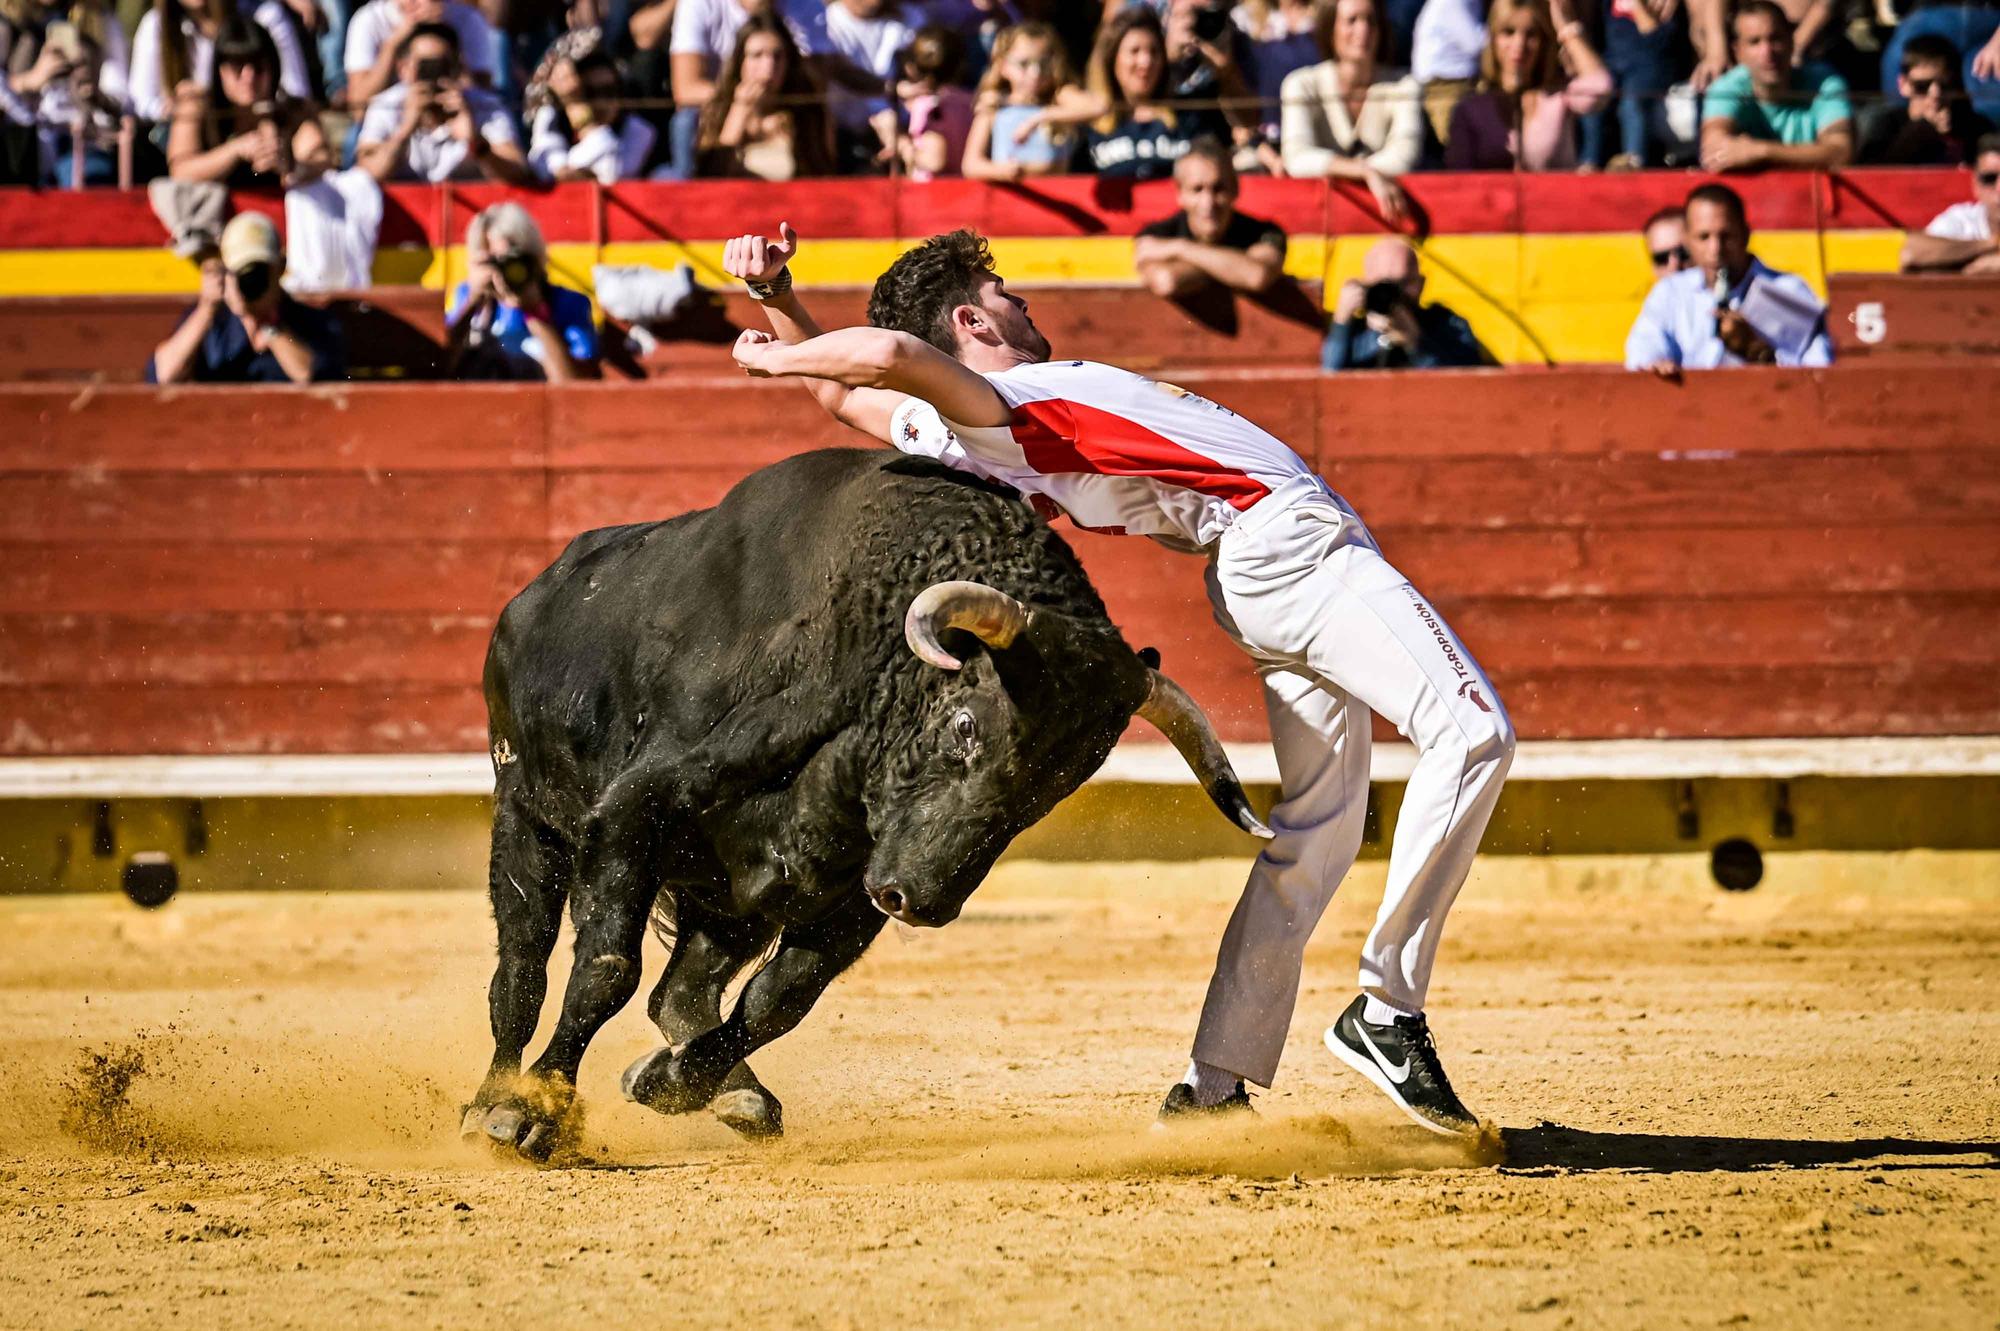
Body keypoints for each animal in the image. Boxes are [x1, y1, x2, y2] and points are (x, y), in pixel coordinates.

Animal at [464, 445, 1264, 1151]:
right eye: (966, 725)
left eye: (1056, 785)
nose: (922, 901)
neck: (866, 671)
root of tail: (532, 596)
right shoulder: (632, 813)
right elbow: (605, 970)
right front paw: (535, 1113)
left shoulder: (849, 895)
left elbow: (778, 999)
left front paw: (665, 1081)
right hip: (528, 820)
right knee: (521, 973)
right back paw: (491, 1104)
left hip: (726, 899)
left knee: (682, 991)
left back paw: (738, 1095)